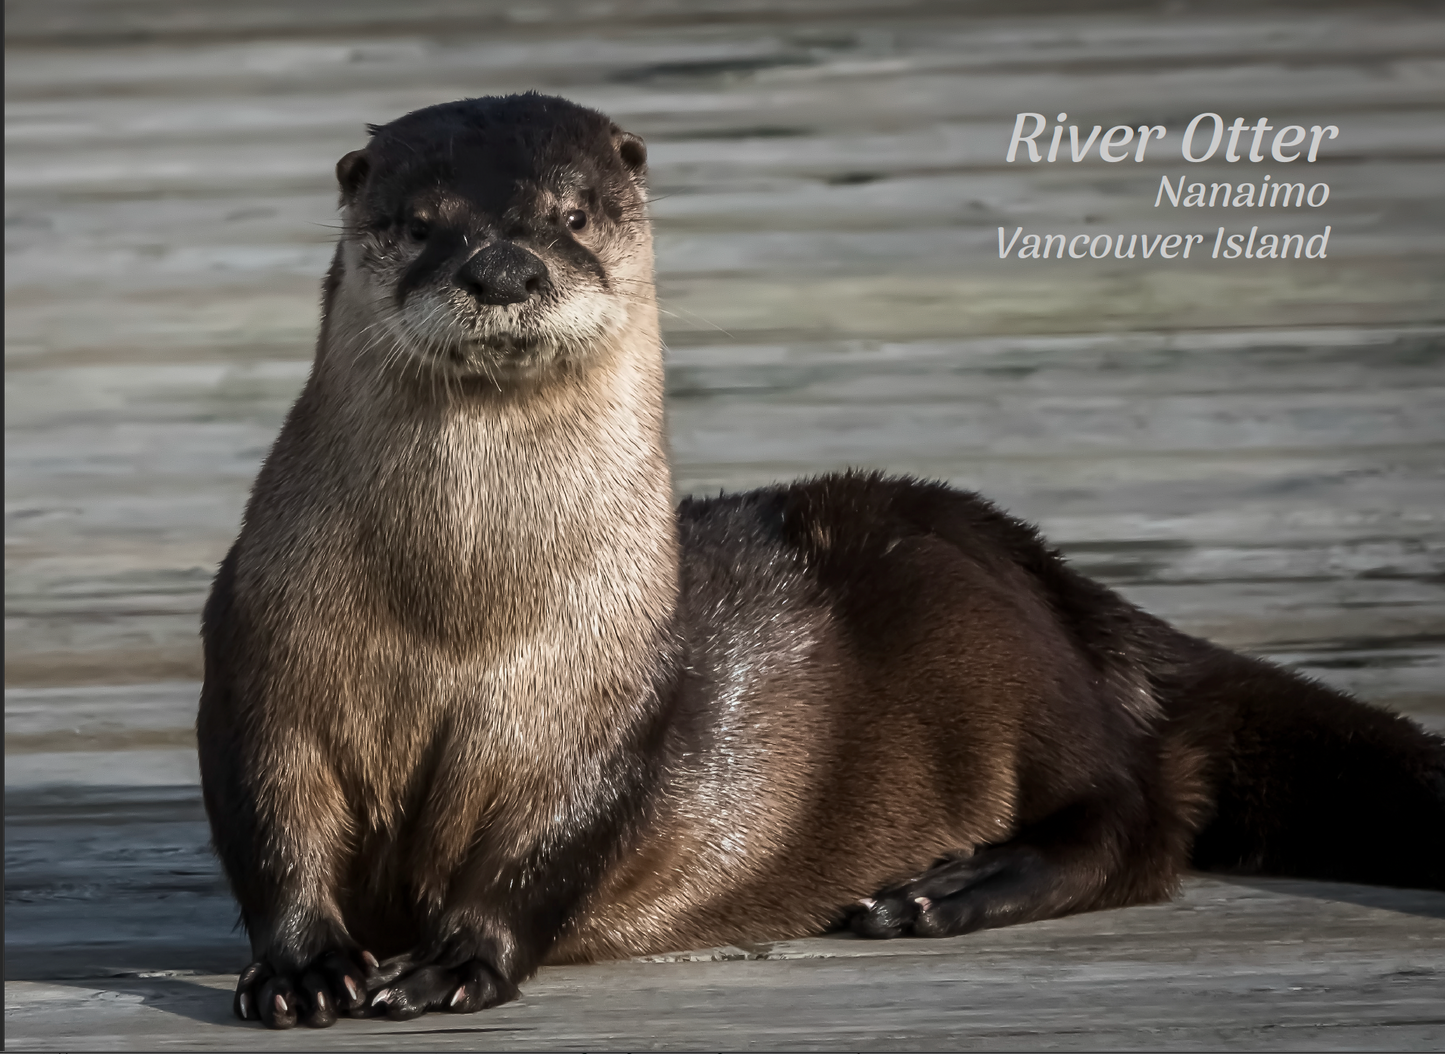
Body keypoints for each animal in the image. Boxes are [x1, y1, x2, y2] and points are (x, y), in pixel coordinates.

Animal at [197, 92, 1445, 1030]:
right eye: (420, 222)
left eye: (574, 214)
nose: (504, 268)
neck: (460, 614)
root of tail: (1049, 573)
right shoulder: (264, 663)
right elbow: (270, 820)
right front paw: (304, 967)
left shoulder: (611, 706)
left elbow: (547, 844)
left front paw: (459, 960)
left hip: (993, 640)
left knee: (1142, 813)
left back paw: (948, 890)